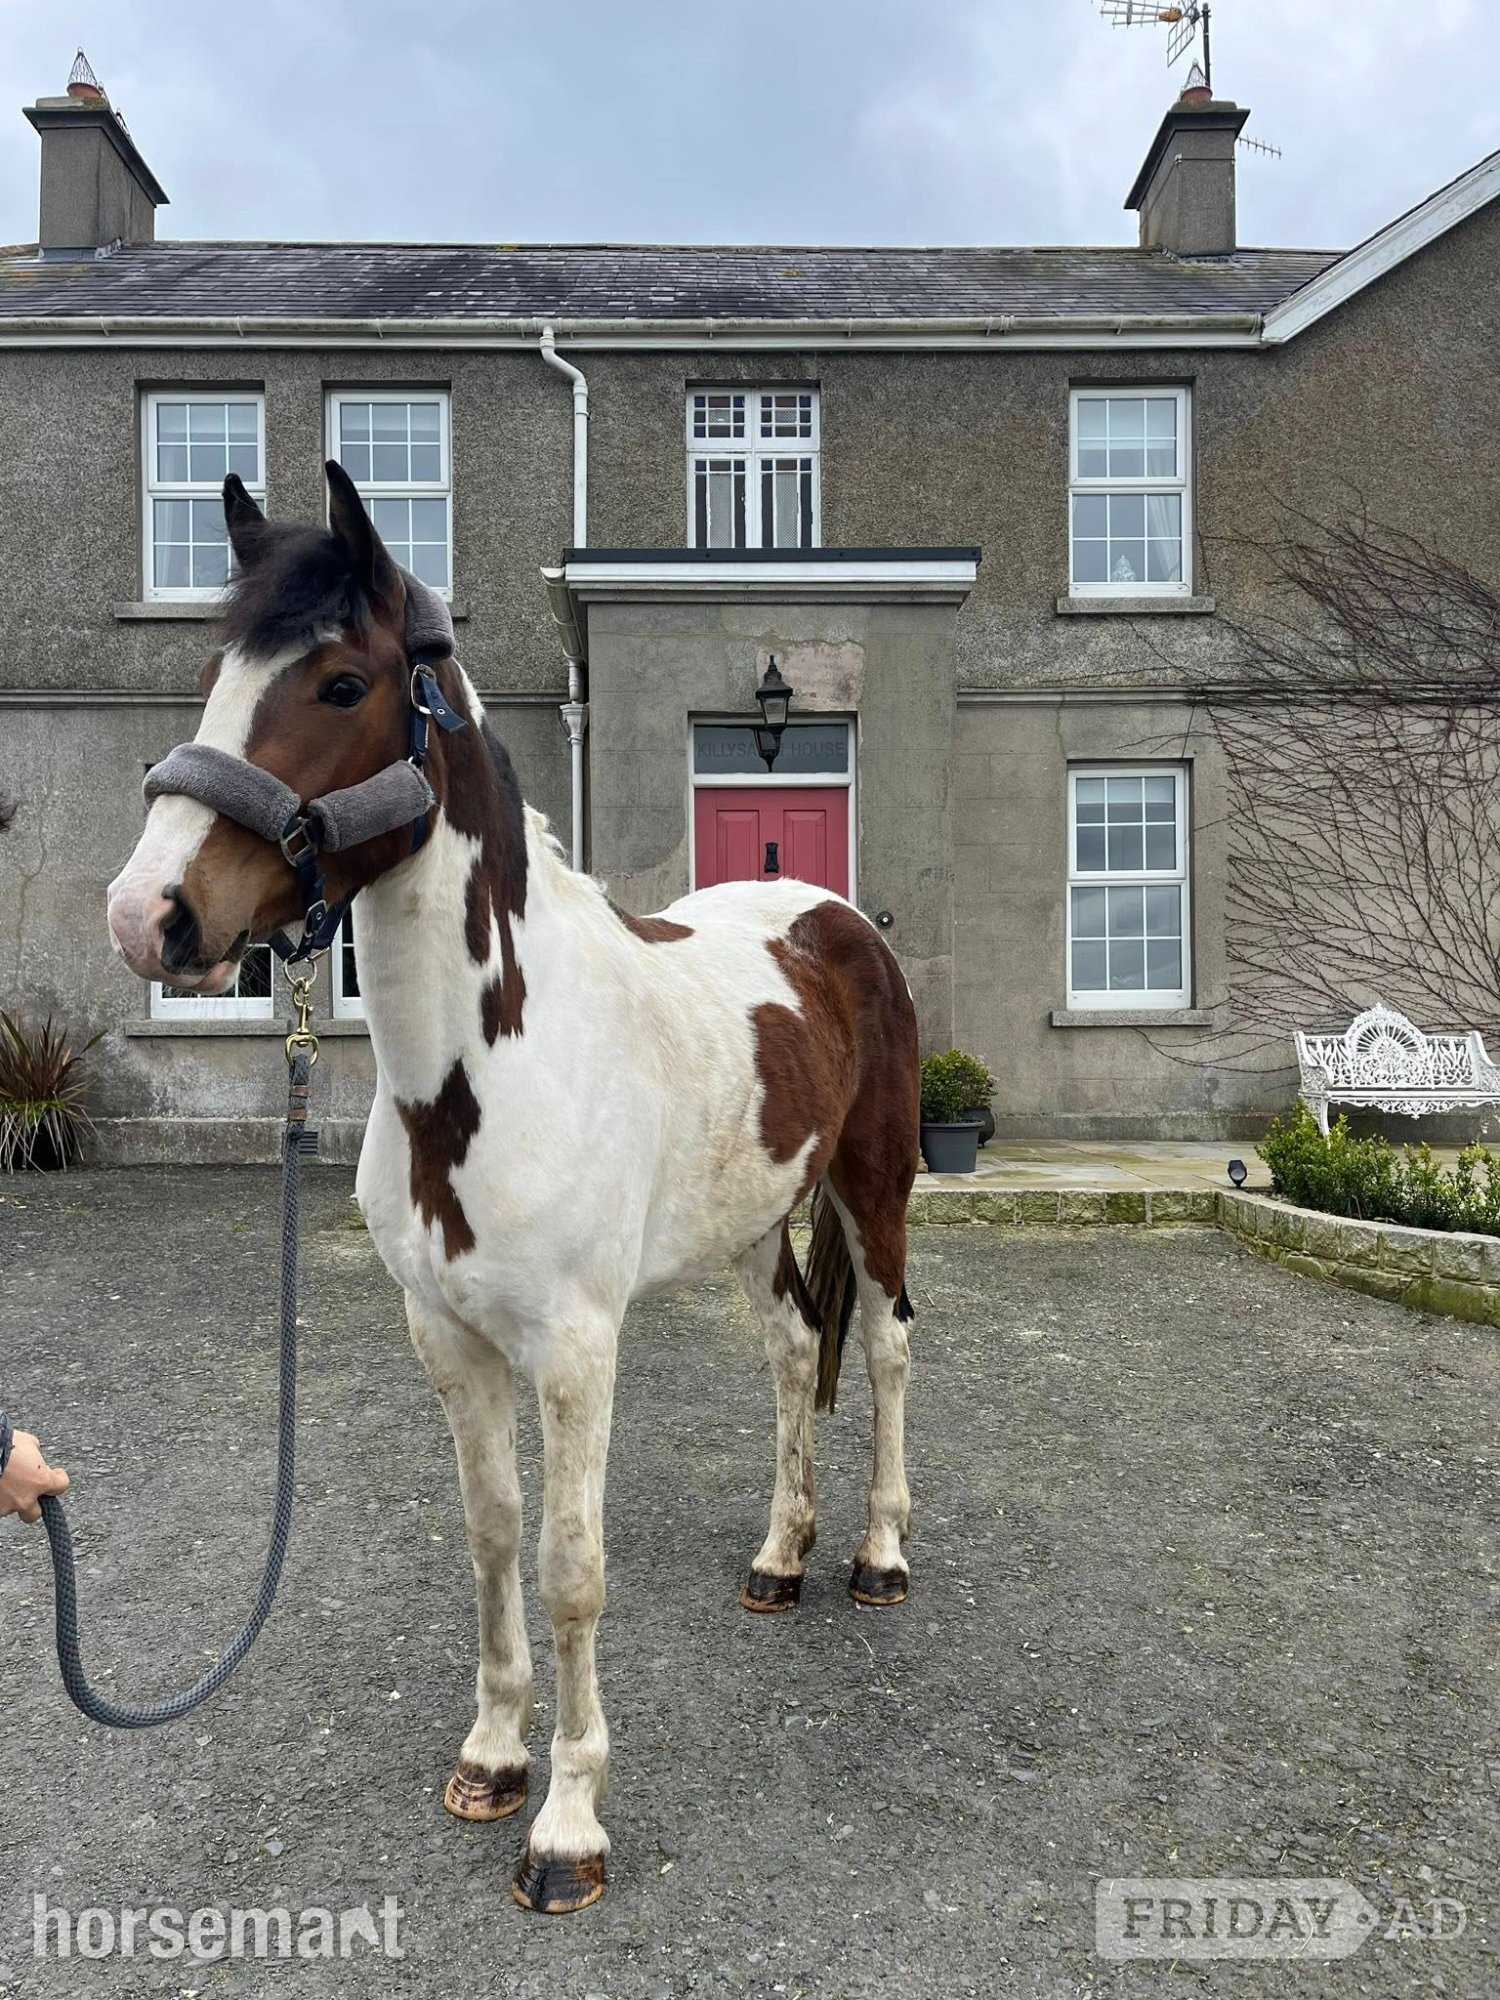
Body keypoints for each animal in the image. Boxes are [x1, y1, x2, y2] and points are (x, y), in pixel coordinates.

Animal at [106, 461, 921, 1914]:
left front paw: (569, 1825)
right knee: (789, 1352)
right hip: (755, 1219)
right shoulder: (447, 1335)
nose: (149, 915)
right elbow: (492, 1536)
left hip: (871, 1189)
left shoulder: (576, 1348)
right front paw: (493, 1758)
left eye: (340, 683)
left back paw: (877, 1556)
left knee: (880, 1348)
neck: (487, 1065)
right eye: (214, 672)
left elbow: (569, 1565)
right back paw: (780, 1559)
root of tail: (836, 919)